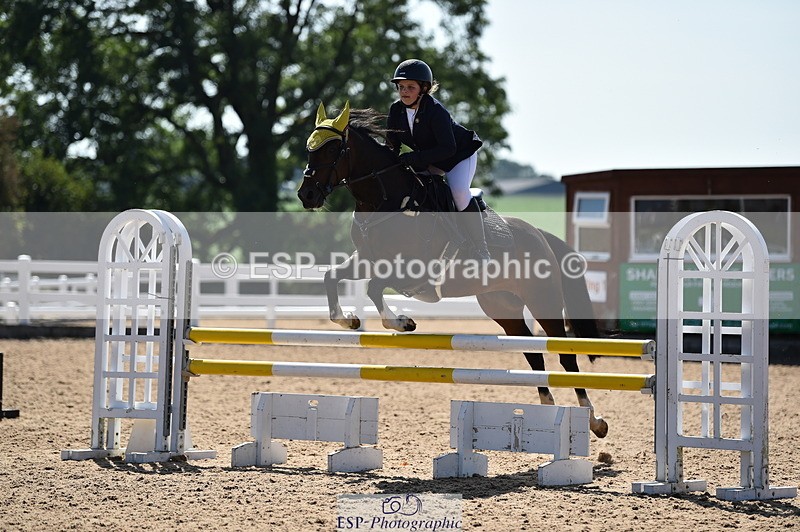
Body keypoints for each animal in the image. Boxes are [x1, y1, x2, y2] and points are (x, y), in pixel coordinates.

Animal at [298, 101, 609, 438]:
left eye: (333, 150)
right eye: (309, 149)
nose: (306, 195)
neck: (385, 199)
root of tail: (539, 234)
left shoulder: (412, 269)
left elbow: (373, 288)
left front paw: (402, 322)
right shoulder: (366, 260)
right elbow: (332, 277)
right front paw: (350, 320)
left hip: (543, 300)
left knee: (566, 356)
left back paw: (594, 420)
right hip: (503, 306)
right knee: (533, 354)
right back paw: (548, 408)